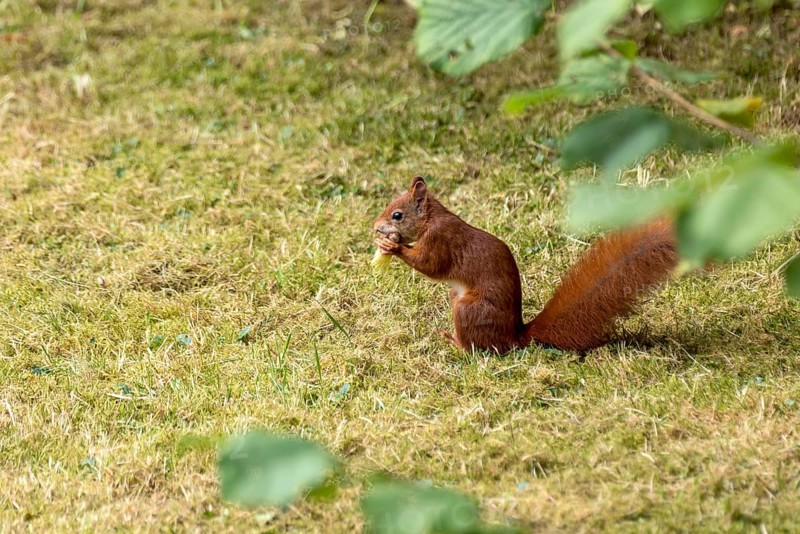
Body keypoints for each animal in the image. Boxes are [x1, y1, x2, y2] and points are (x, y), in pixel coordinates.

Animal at [373, 176, 679, 353]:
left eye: (397, 215)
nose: (376, 227)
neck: (431, 218)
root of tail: (514, 336)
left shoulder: (441, 240)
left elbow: (431, 265)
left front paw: (393, 247)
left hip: (469, 309)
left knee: (480, 350)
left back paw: (456, 344)